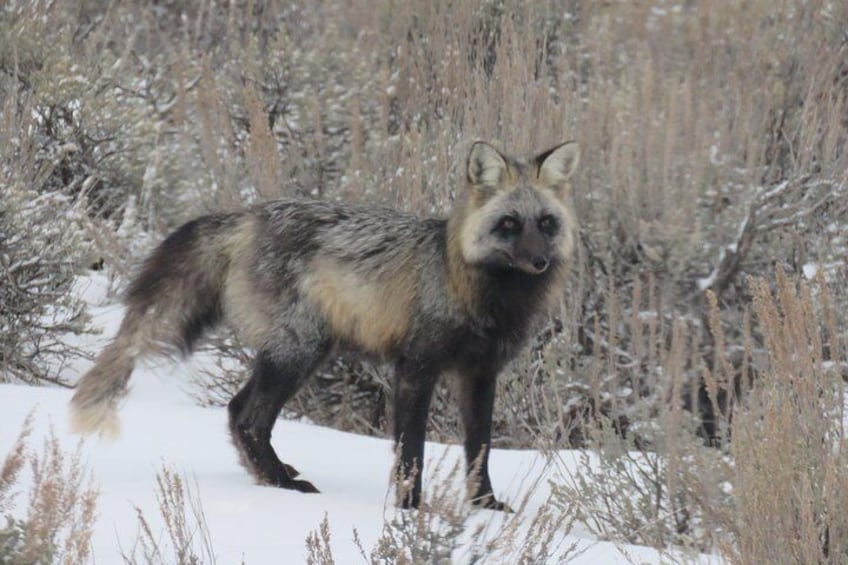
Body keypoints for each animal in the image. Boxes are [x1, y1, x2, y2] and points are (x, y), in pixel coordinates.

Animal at [71, 139, 576, 508]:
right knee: (248, 417)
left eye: (546, 223)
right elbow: (411, 449)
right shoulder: (415, 368)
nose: (539, 261)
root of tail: (249, 214)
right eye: (508, 224)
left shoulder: (480, 373)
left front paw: (486, 508)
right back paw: (283, 484)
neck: (474, 293)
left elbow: (480, 449)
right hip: (298, 352)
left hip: (302, 353)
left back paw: (270, 475)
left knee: (236, 413)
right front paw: (410, 511)